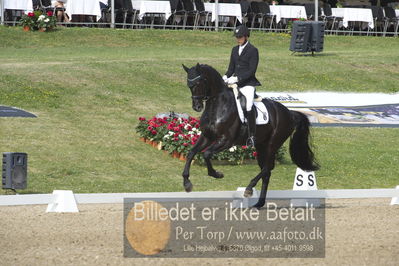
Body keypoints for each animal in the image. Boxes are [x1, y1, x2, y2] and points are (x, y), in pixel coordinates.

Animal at [182, 62, 318, 208]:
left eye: (199, 82)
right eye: (189, 85)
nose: (197, 107)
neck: (218, 105)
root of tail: (290, 113)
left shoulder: (226, 141)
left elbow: (206, 154)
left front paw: (216, 174)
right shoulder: (207, 136)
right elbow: (191, 153)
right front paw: (187, 183)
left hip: (272, 145)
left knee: (267, 168)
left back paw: (249, 189)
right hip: (261, 146)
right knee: (267, 172)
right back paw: (259, 203)